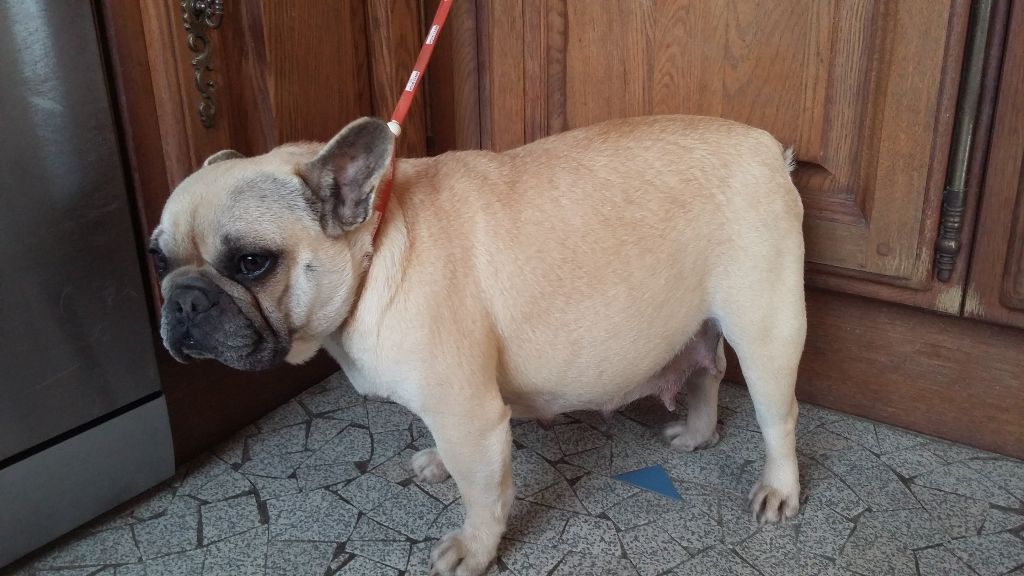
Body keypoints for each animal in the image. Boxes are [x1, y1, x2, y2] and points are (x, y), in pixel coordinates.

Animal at [153, 114, 806, 569]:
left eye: (252, 262)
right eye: (158, 257)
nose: (182, 299)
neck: (376, 245)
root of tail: (768, 147)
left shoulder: (470, 416)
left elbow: (483, 495)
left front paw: (475, 549)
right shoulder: (455, 415)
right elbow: (458, 462)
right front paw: (438, 464)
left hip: (766, 328)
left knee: (778, 417)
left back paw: (778, 487)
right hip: (700, 324)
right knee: (707, 370)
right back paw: (697, 433)